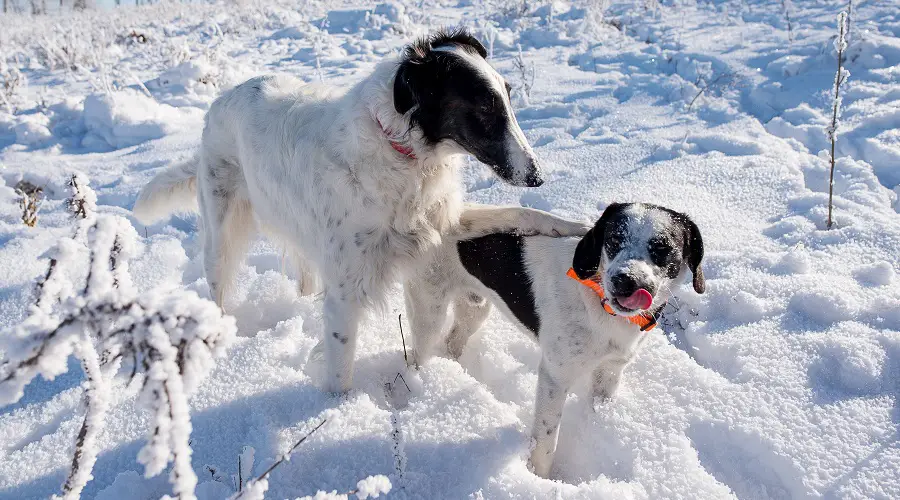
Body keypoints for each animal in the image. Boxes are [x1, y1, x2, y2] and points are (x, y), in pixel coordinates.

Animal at [130, 29, 588, 392]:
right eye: (483, 108)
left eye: (508, 99)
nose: (537, 177)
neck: (400, 150)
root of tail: (221, 100)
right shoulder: (347, 287)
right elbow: (340, 369)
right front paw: (338, 414)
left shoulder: (440, 221)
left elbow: (521, 213)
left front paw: (572, 225)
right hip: (222, 230)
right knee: (218, 284)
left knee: (304, 272)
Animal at [404, 202, 708, 476]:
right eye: (613, 239)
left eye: (663, 248)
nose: (625, 280)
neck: (599, 302)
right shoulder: (555, 377)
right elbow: (546, 441)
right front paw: (539, 477)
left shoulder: (611, 370)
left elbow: (599, 405)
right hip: (429, 312)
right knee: (417, 354)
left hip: (474, 308)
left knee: (453, 340)